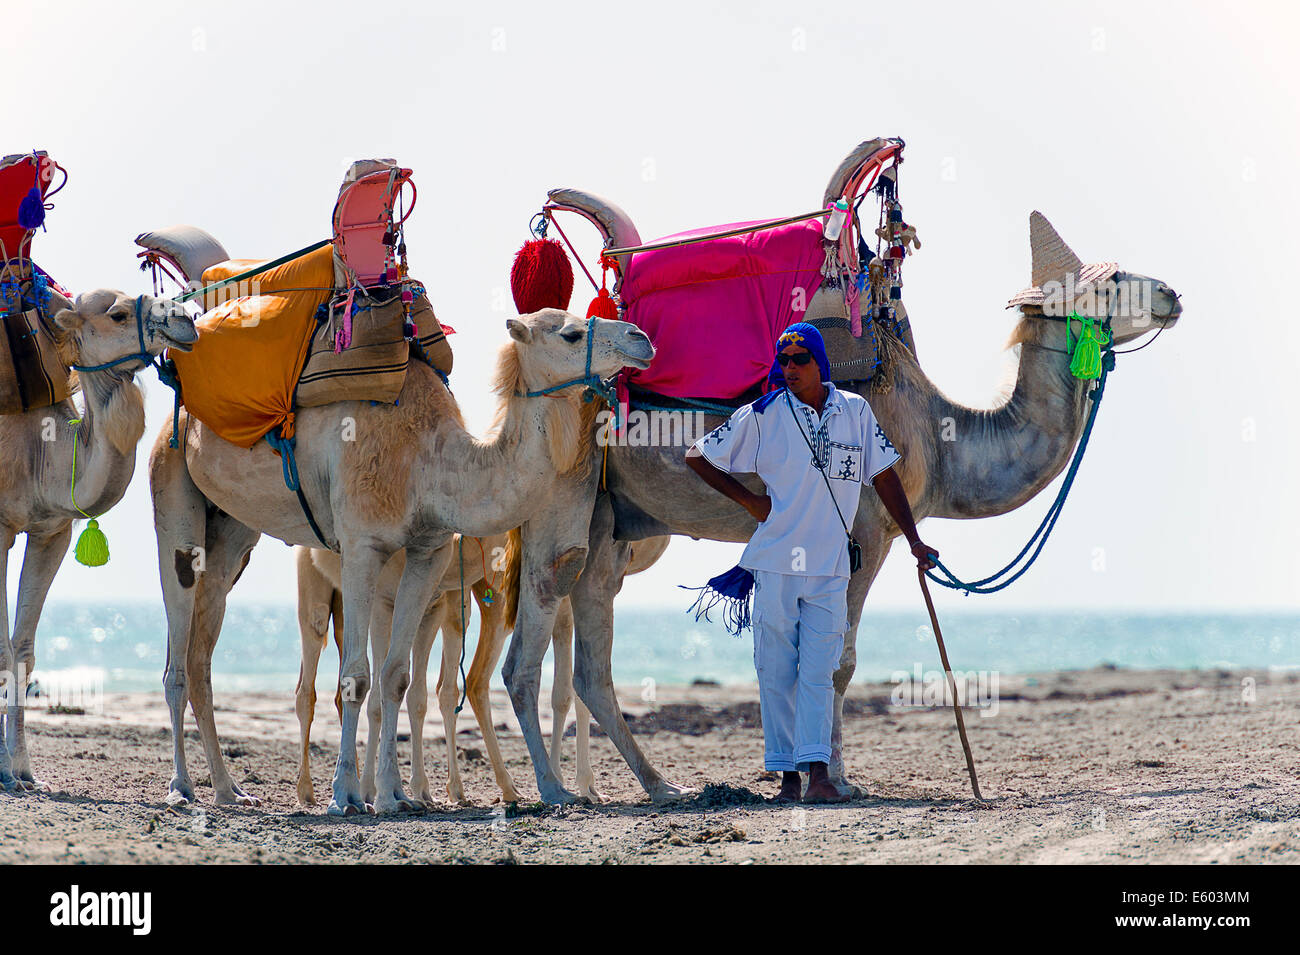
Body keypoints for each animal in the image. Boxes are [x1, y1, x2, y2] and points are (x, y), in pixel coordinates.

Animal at [0, 291, 197, 789]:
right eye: (119, 314)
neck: (40, 449)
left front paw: (24, 770)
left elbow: (24, 650)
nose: (186, 319)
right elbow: (4, 651)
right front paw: (6, 773)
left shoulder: (51, 531)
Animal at [501, 200, 1185, 800]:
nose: (1171, 295)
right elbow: (839, 660)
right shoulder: (869, 532)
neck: (941, 434)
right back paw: (551, 792)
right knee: (531, 641)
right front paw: (836, 779)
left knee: (592, 665)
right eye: (1109, 282)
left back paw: (662, 787)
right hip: (559, 499)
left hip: (608, 525)